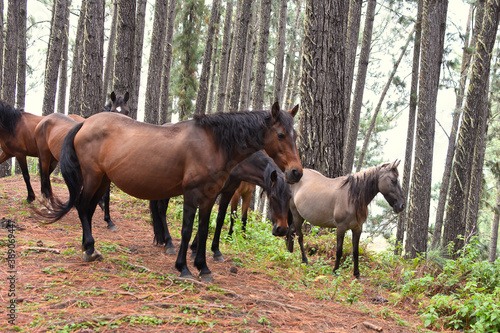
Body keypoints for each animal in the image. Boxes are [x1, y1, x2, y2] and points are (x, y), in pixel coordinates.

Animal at [47, 101, 302, 280]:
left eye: (296, 135)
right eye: (281, 134)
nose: (296, 172)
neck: (213, 143)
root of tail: (85, 123)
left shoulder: (210, 195)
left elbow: (204, 229)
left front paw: (203, 267)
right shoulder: (192, 194)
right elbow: (188, 229)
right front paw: (184, 268)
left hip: (103, 181)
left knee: (89, 210)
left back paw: (88, 246)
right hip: (93, 177)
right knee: (82, 207)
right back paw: (90, 249)